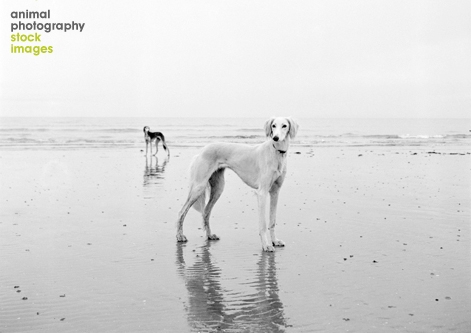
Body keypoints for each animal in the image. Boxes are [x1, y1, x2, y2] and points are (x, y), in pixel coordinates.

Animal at [177, 115, 298, 250]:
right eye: (273, 125)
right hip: (199, 187)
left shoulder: (275, 192)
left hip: (218, 188)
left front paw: (275, 241)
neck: (276, 152)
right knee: (182, 212)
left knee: (206, 212)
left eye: (284, 126)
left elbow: (272, 220)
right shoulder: (262, 193)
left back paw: (209, 235)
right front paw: (266, 245)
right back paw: (180, 236)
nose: (275, 138)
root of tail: (202, 150)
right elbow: (263, 223)